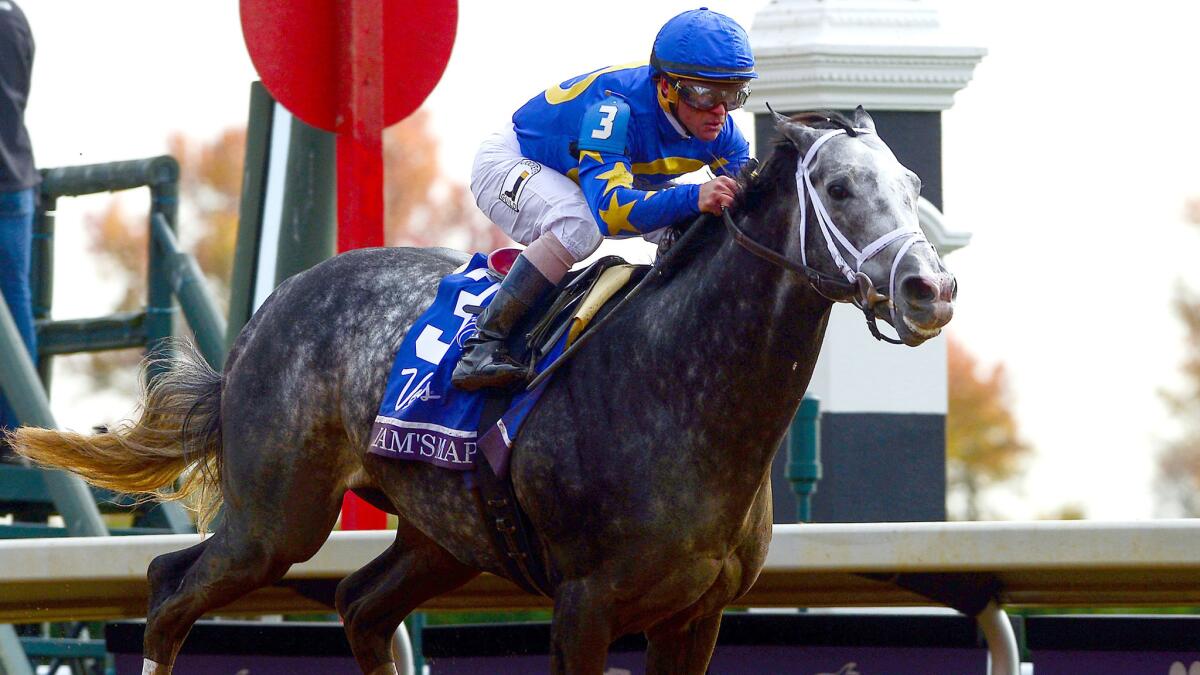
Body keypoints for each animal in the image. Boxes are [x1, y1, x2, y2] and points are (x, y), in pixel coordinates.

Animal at [9, 107, 955, 667]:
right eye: (839, 185)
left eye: (912, 186)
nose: (931, 289)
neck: (680, 393)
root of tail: (266, 314)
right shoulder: (586, 603)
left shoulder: (699, 612)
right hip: (276, 519)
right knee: (170, 591)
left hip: (440, 533)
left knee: (360, 605)